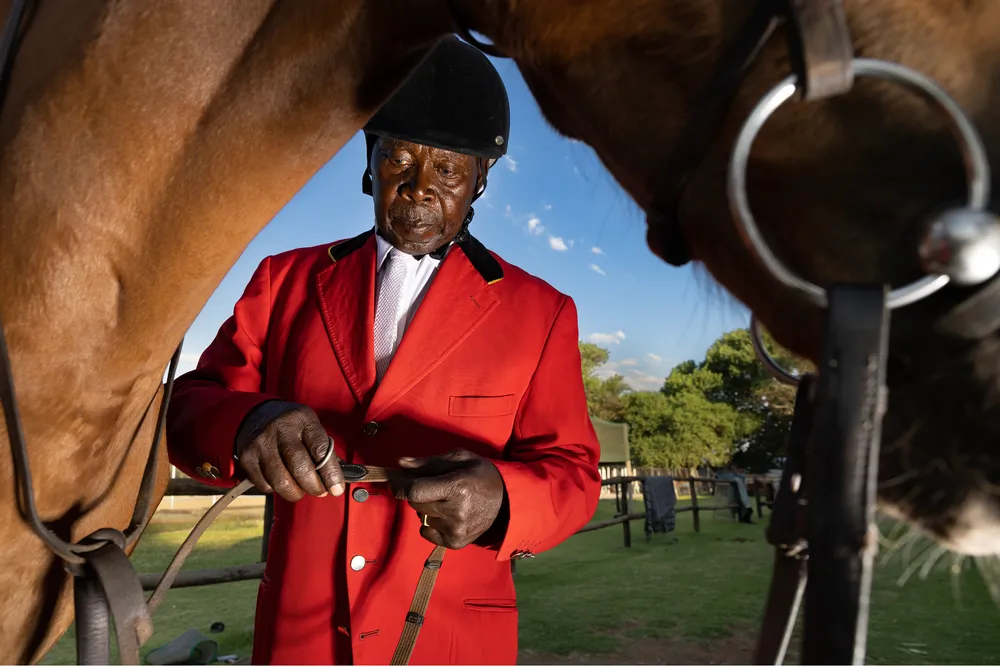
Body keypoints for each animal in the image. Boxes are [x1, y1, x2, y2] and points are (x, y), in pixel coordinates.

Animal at [2, 0, 998, 663]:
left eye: (448, 169)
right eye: (400, 161)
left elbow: (556, 468)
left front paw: (466, 501)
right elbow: (216, 390)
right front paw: (282, 438)